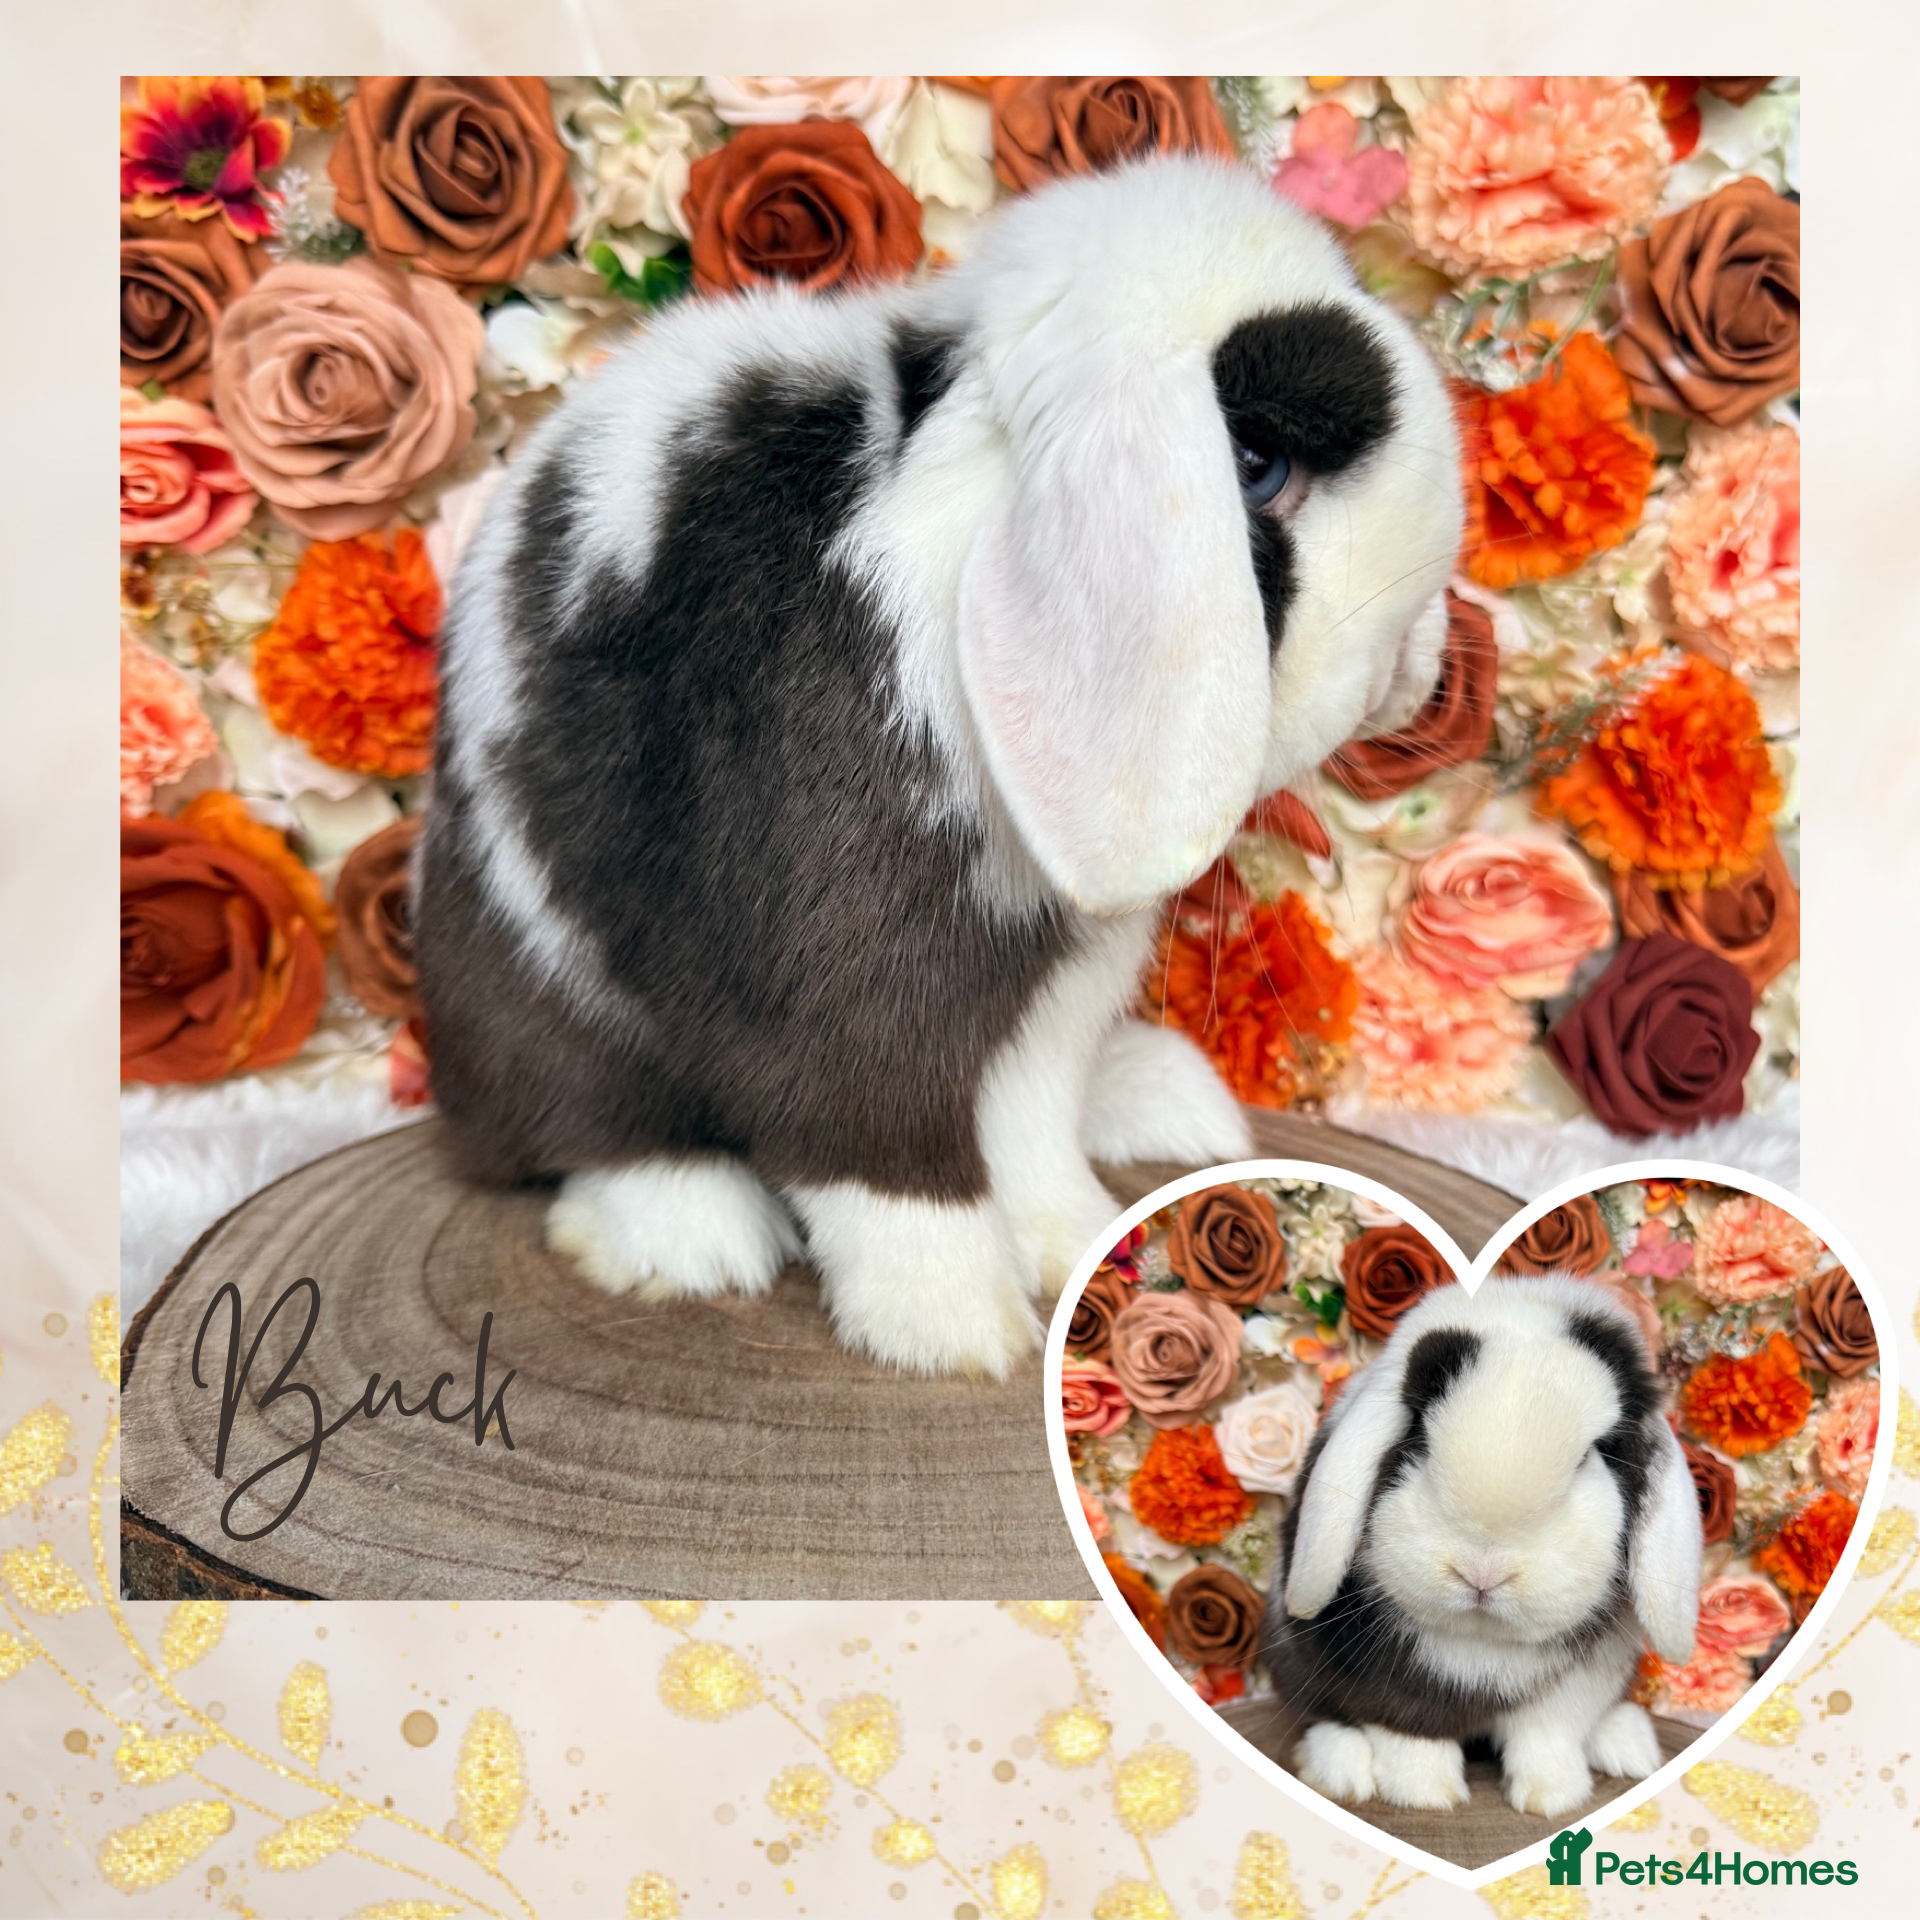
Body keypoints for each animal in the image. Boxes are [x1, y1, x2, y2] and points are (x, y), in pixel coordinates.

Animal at [413, 155, 1464, 1379]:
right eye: (1255, 467)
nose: (1412, 660)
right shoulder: (847, 979)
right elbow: (883, 1162)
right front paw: (957, 1331)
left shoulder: (1050, 990)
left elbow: (1030, 1129)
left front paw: (1069, 1246)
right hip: (536, 979)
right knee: (579, 1125)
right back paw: (689, 1236)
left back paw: (1157, 1097)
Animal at [1264, 1276, 1702, 1818]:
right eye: (1419, 1439)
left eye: (1590, 1456)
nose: (1482, 1573)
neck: (1482, 1645)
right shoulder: (1387, 1686)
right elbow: (1407, 1735)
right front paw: (1425, 1795)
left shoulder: (1576, 1685)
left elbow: (1547, 1738)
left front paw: (1553, 1798)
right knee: (1318, 1716)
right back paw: (1340, 1771)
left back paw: (1627, 1746)